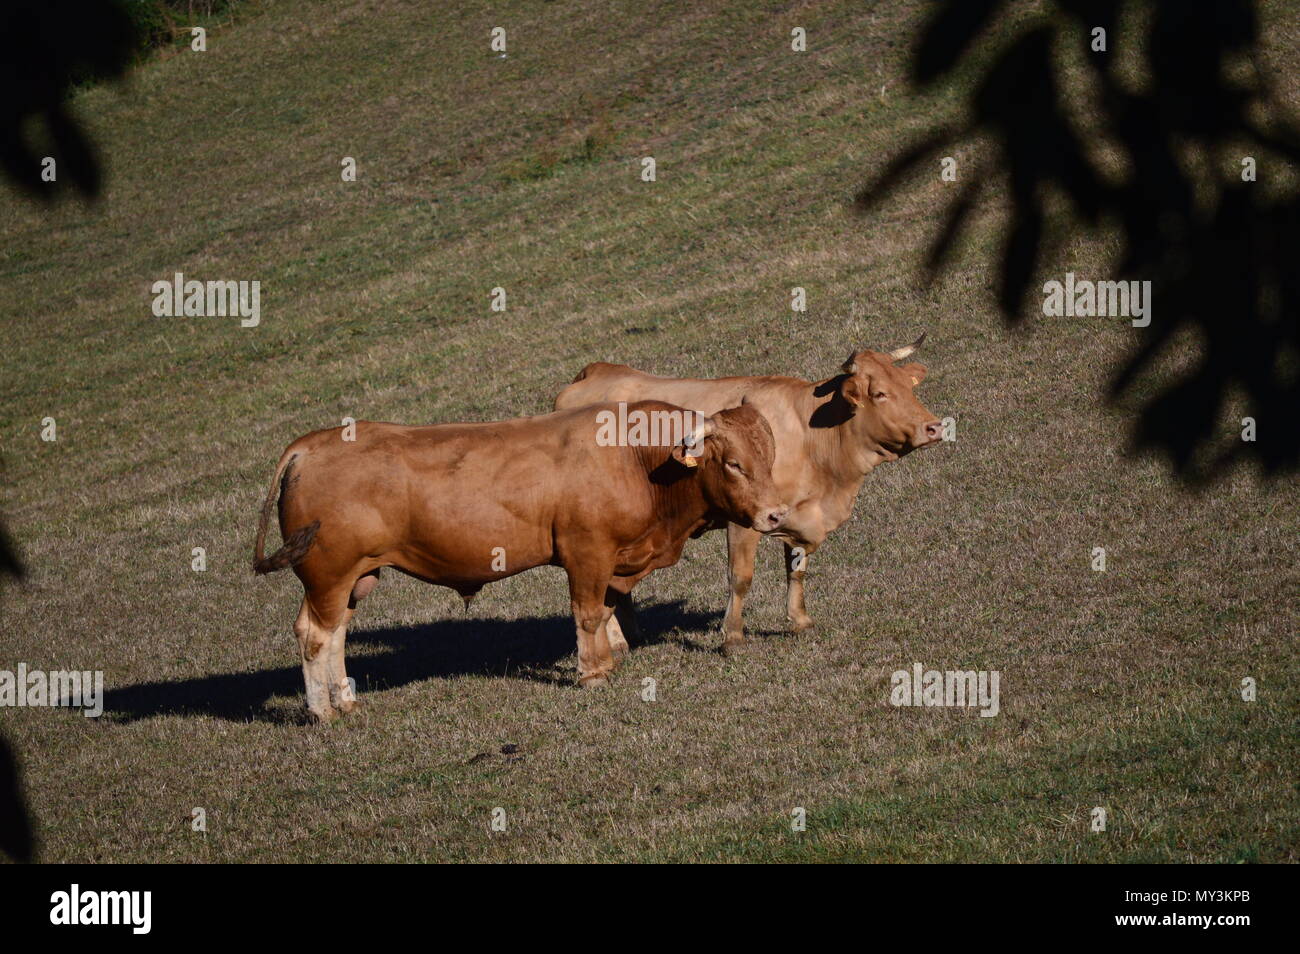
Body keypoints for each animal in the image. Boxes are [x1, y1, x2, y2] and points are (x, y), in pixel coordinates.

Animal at [250, 400, 780, 722]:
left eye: (769, 458)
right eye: (733, 464)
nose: (775, 514)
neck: (635, 458)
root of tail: (310, 445)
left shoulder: (614, 559)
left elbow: (606, 607)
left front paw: (607, 660)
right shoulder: (587, 552)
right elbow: (588, 612)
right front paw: (592, 674)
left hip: (355, 577)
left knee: (335, 633)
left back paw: (345, 699)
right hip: (330, 574)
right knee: (314, 636)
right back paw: (322, 711)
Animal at [553, 335, 941, 657]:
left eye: (909, 387)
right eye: (880, 394)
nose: (934, 426)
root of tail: (595, 372)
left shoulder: (798, 515)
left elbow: (796, 568)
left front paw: (800, 620)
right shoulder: (746, 520)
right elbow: (741, 577)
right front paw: (733, 637)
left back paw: (629, 635)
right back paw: (617, 641)